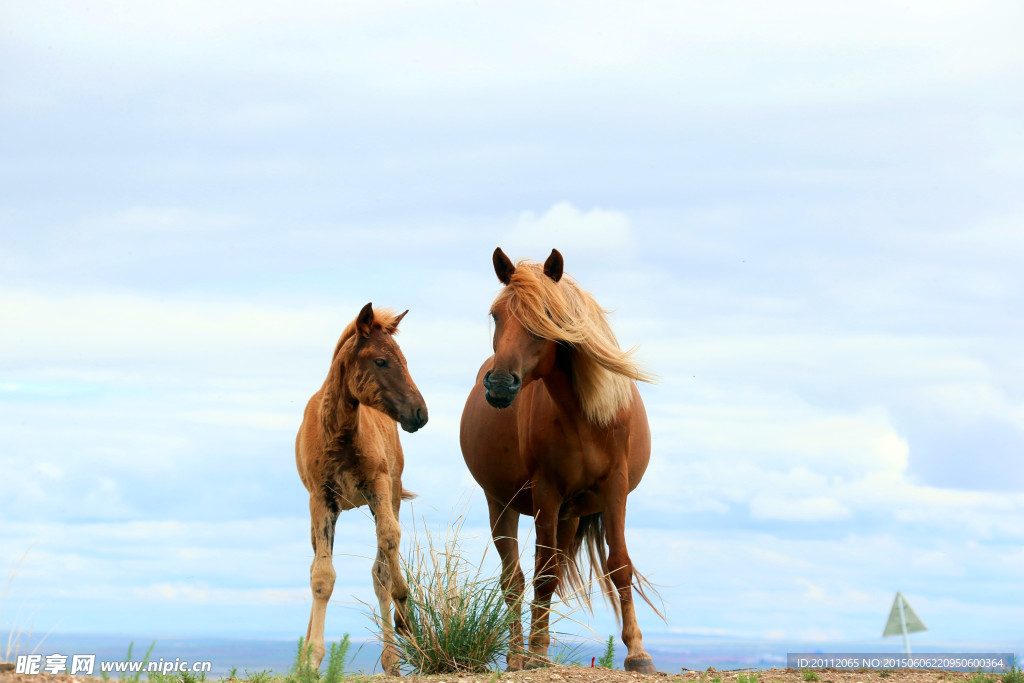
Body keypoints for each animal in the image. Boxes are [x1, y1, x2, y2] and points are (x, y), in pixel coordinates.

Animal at [296, 303, 428, 671]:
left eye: (405, 359)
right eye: (381, 361)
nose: (420, 413)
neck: (339, 434)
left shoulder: (378, 485)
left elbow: (388, 544)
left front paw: (404, 611)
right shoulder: (321, 499)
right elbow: (321, 576)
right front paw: (311, 659)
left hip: (389, 493)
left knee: (380, 567)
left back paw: (393, 655)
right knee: (316, 563)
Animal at [462, 249, 659, 671]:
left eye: (549, 316)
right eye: (496, 315)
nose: (499, 385)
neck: (582, 416)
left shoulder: (614, 488)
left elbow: (620, 565)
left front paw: (638, 653)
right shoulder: (546, 492)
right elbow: (544, 575)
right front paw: (537, 653)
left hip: (570, 514)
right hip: (501, 504)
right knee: (515, 580)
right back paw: (518, 655)